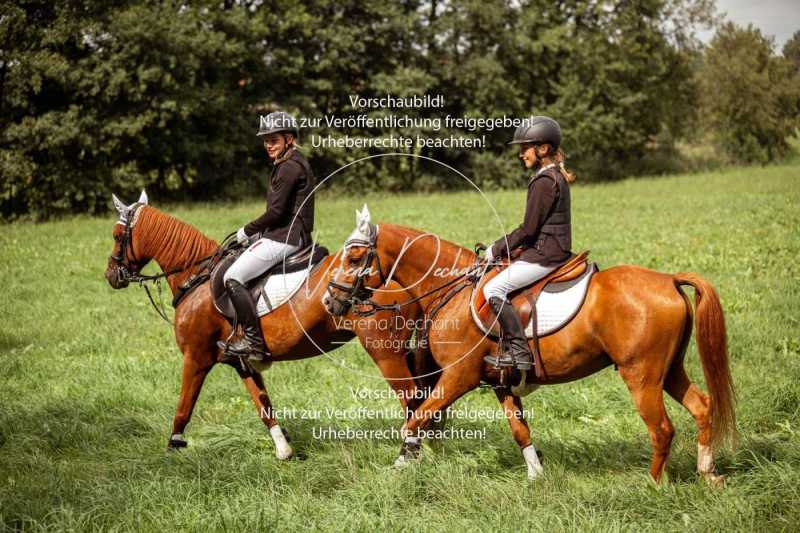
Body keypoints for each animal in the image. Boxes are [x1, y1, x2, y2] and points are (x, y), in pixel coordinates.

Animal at [107, 193, 432, 460]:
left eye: (117, 235)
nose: (111, 275)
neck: (196, 277)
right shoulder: (241, 361)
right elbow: (263, 404)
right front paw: (283, 449)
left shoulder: (196, 357)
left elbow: (184, 405)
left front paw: (172, 448)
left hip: (385, 354)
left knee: (411, 399)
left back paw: (411, 452)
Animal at [322, 208, 736, 482]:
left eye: (354, 257)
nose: (330, 300)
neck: (453, 291)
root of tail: (669, 279)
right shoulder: (500, 384)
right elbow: (519, 430)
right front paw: (536, 477)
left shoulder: (457, 378)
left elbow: (415, 419)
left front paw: (402, 464)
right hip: (670, 370)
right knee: (702, 407)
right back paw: (708, 474)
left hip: (641, 376)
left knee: (662, 429)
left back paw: (653, 485)